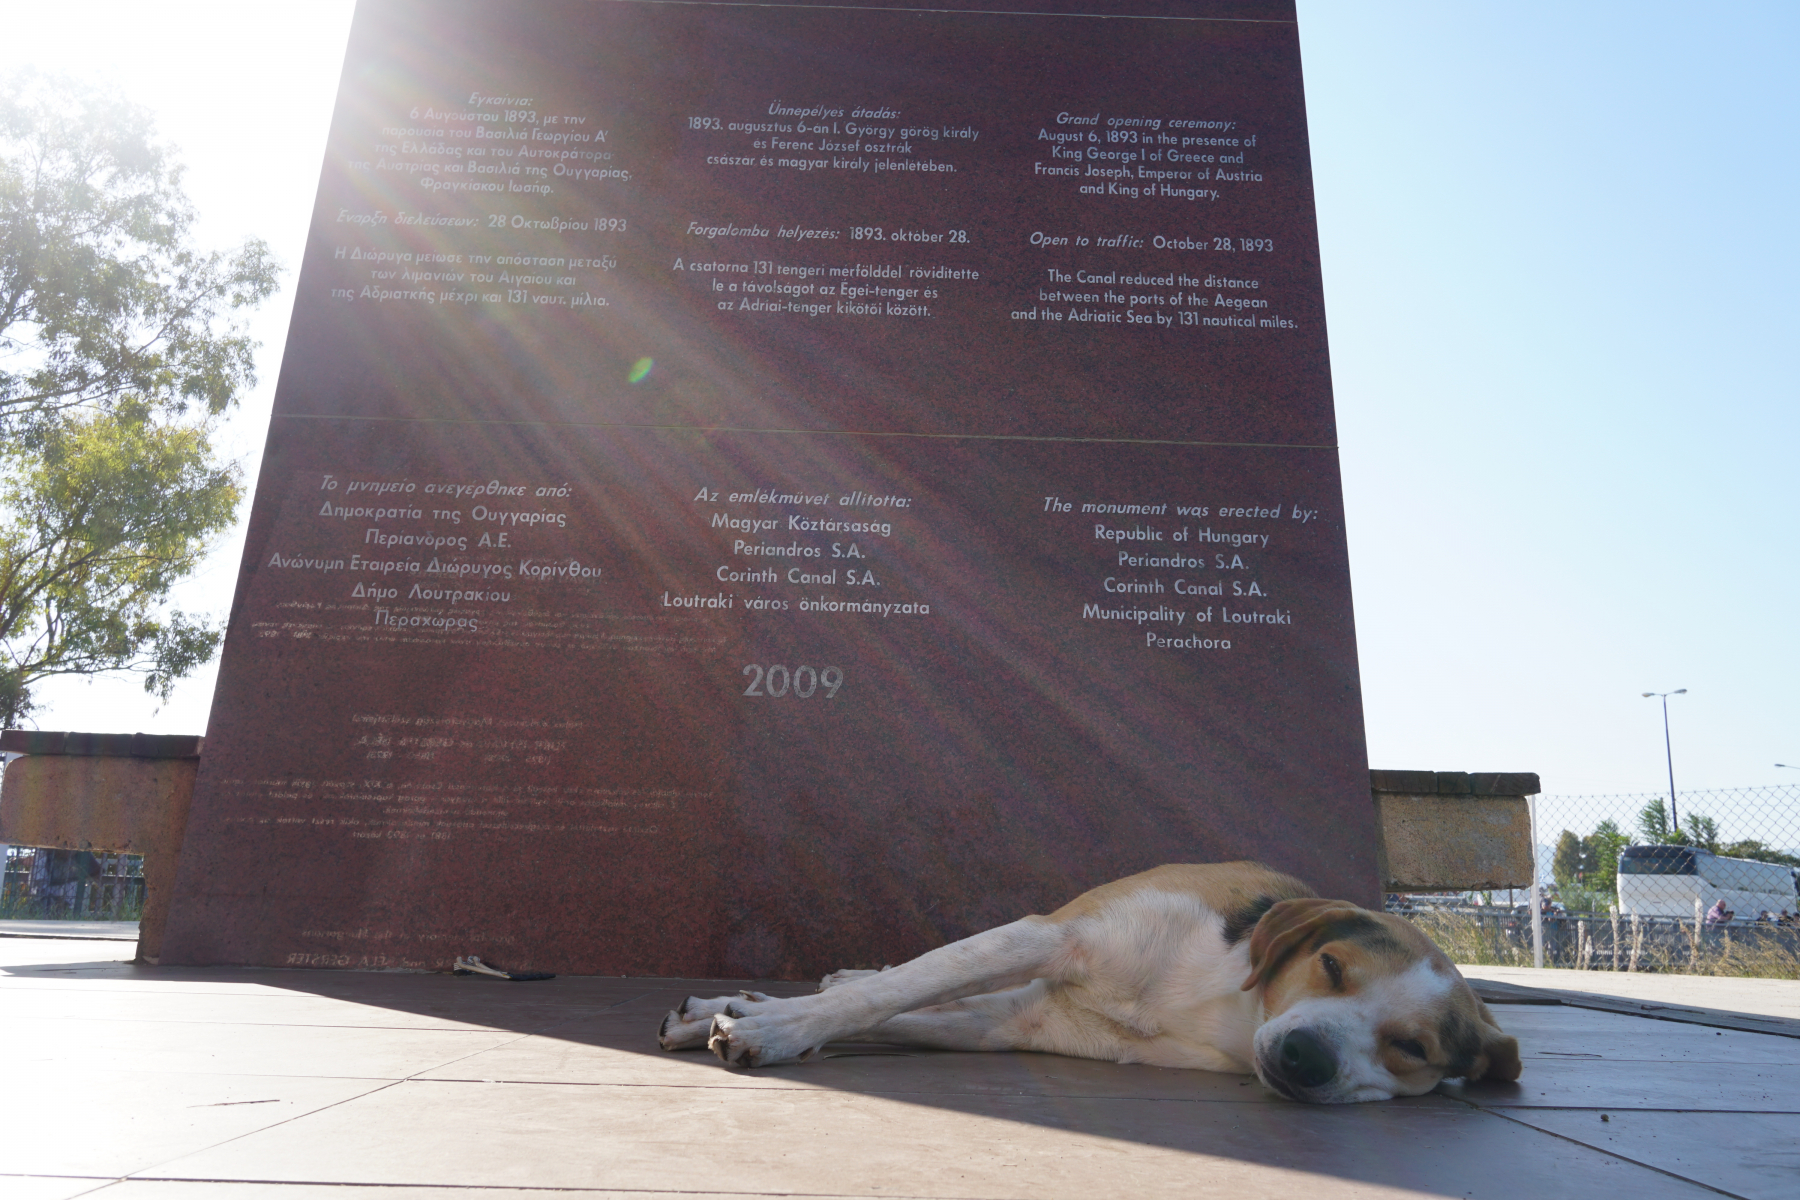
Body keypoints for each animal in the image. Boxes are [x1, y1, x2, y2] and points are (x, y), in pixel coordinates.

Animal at [658, 862, 1521, 1103]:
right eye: (1333, 966)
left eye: (1412, 1048)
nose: (1307, 1058)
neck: (1222, 1000)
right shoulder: (1050, 934)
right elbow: (880, 994)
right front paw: (771, 1028)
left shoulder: (1018, 1024)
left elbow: (889, 1005)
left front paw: (758, 1016)